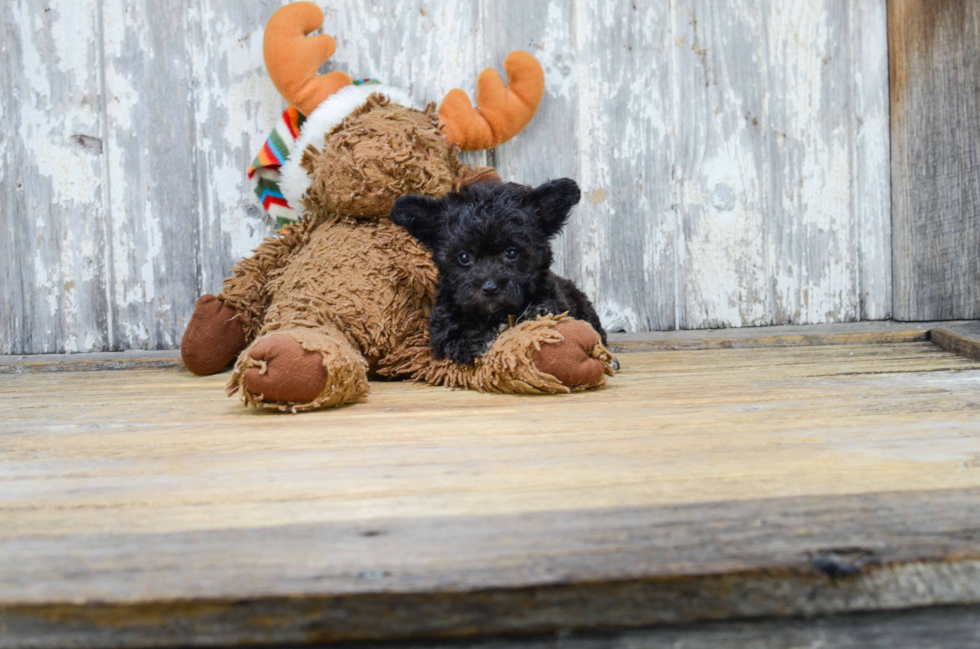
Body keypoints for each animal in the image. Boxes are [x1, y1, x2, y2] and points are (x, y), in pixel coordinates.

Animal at [390, 178, 604, 364]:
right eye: (464, 257)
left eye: (511, 253)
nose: (490, 287)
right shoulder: (443, 320)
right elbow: (452, 331)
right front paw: (475, 341)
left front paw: (537, 312)